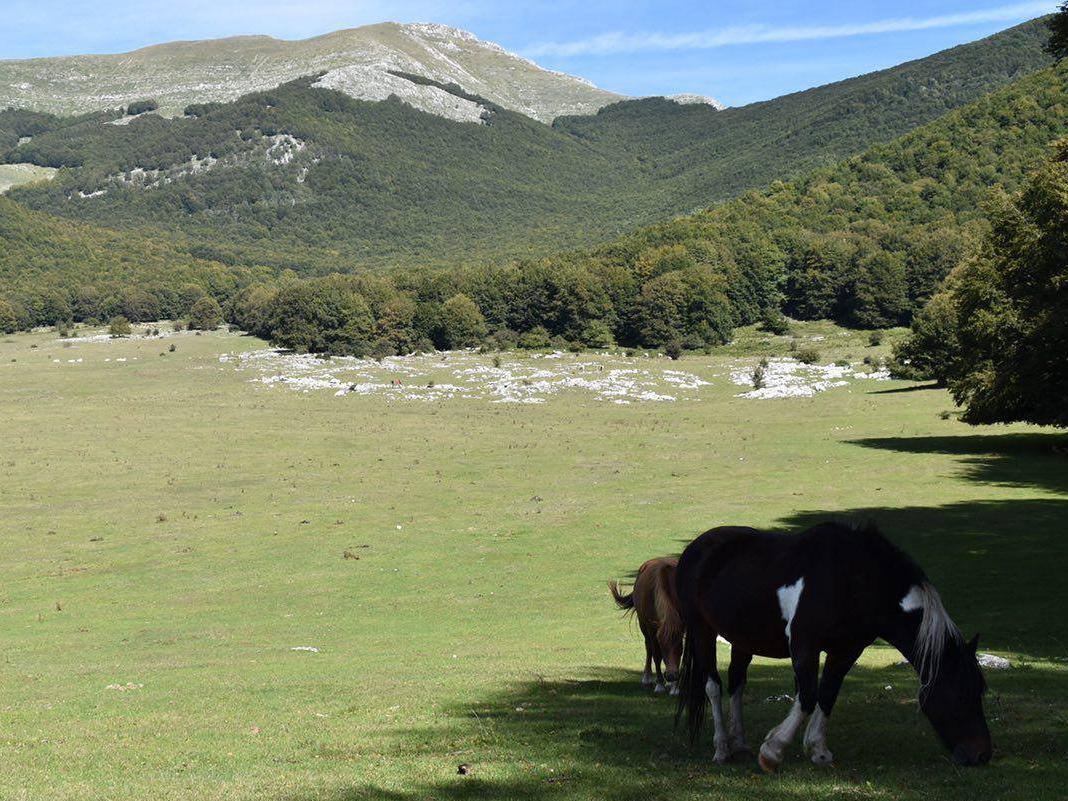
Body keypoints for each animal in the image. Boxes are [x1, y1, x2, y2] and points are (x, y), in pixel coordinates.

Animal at [610, 559, 683, 696]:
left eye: (679, 644)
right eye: (662, 644)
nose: (671, 676)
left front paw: (675, 687)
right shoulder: (653, 630)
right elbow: (656, 655)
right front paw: (660, 685)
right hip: (644, 627)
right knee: (648, 648)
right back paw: (647, 678)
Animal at [674, 523, 991, 773]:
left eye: (980, 690)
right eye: (961, 693)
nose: (982, 754)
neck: (854, 580)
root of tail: (695, 549)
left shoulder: (846, 651)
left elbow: (827, 694)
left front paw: (818, 750)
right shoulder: (805, 646)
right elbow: (807, 696)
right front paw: (773, 752)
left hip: (743, 640)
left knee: (737, 683)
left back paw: (739, 744)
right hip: (702, 631)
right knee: (713, 687)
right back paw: (722, 749)